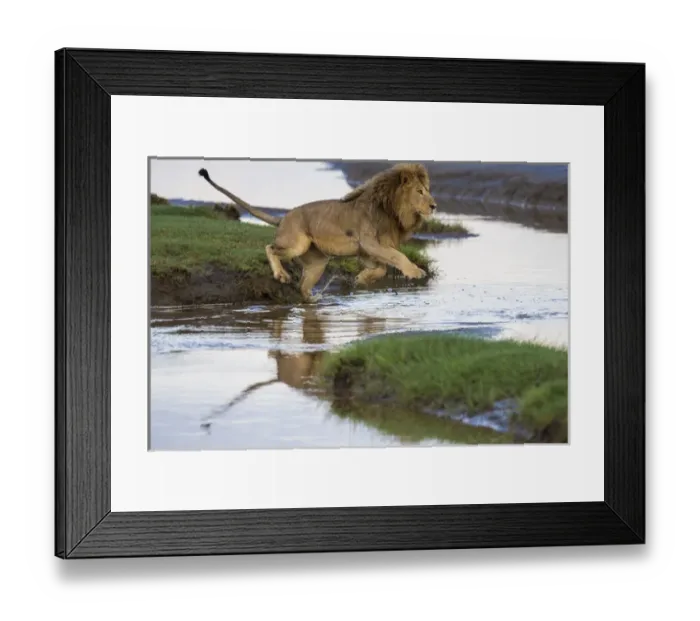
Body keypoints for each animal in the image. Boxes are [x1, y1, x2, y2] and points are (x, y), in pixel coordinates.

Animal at [197, 163, 438, 302]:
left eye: (428, 191)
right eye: (420, 192)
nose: (434, 206)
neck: (393, 211)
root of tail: (284, 217)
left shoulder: (365, 250)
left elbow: (382, 267)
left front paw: (361, 278)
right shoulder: (369, 242)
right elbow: (397, 256)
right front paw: (415, 271)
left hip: (317, 263)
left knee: (302, 287)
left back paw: (310, 300)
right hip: (296, 244)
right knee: (270, 247)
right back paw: (281, 275)